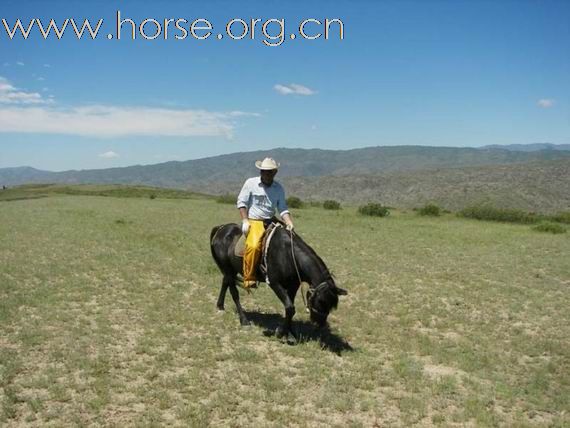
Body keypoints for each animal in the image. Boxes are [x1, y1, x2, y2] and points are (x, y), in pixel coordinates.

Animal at [207, 224, 344, 342]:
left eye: (332, 305)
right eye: (320, 301)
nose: (319, 324)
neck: (288, 254)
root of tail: (221, 228)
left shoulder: (293, 286)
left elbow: (290, 309)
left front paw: (289, 332)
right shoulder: (275, 283)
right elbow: (290, 307)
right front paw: (281, 332)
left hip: (231, 270)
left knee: (225, 282)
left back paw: (220, 306)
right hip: (228, 269)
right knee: (234, 293)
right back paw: (244, 320)